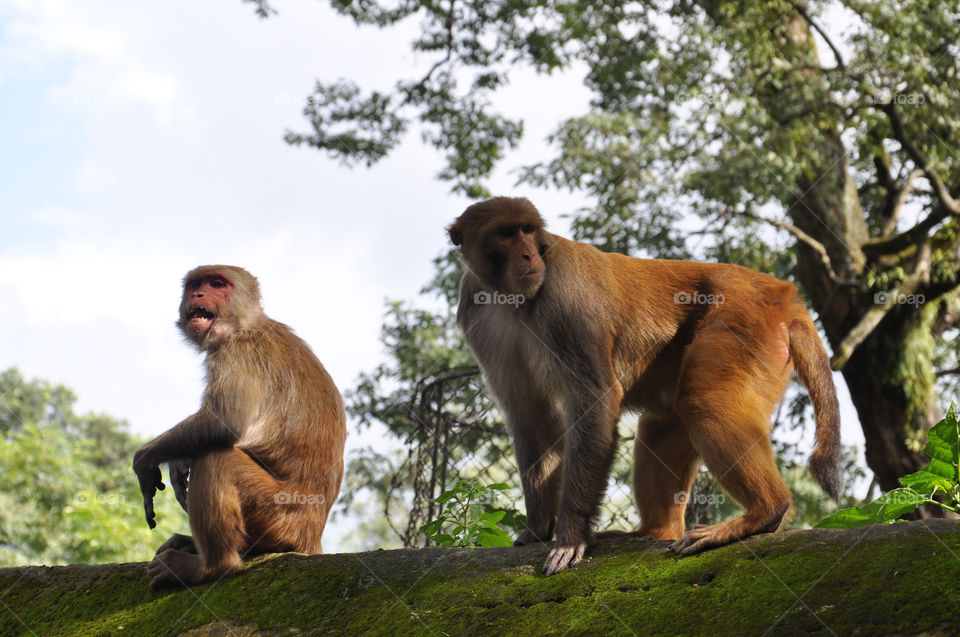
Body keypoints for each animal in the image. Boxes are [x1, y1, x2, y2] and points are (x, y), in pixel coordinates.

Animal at [132, 264, 344, 588]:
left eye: (218, 284)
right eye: (195, 284)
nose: (198, 294)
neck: (246, 323)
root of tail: (312, 534)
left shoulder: (238, 350)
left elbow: (224, 423)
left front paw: (144, 459)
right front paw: (178, 464)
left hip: (279, 515)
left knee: (216, 458)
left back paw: (210, 566)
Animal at [450, 196, 840, 572]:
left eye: (527, 230)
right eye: (506, 233)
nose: (529, 254)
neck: (512, 298)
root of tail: (784, 294)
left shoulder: (564, 298)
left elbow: (596, 399)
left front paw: (571, 534)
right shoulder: (475, 310)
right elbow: (529, 413)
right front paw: (536, 529)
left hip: (744, 320)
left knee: (704, 401)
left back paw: (764, 512)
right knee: (665, 422)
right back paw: (655, 531)